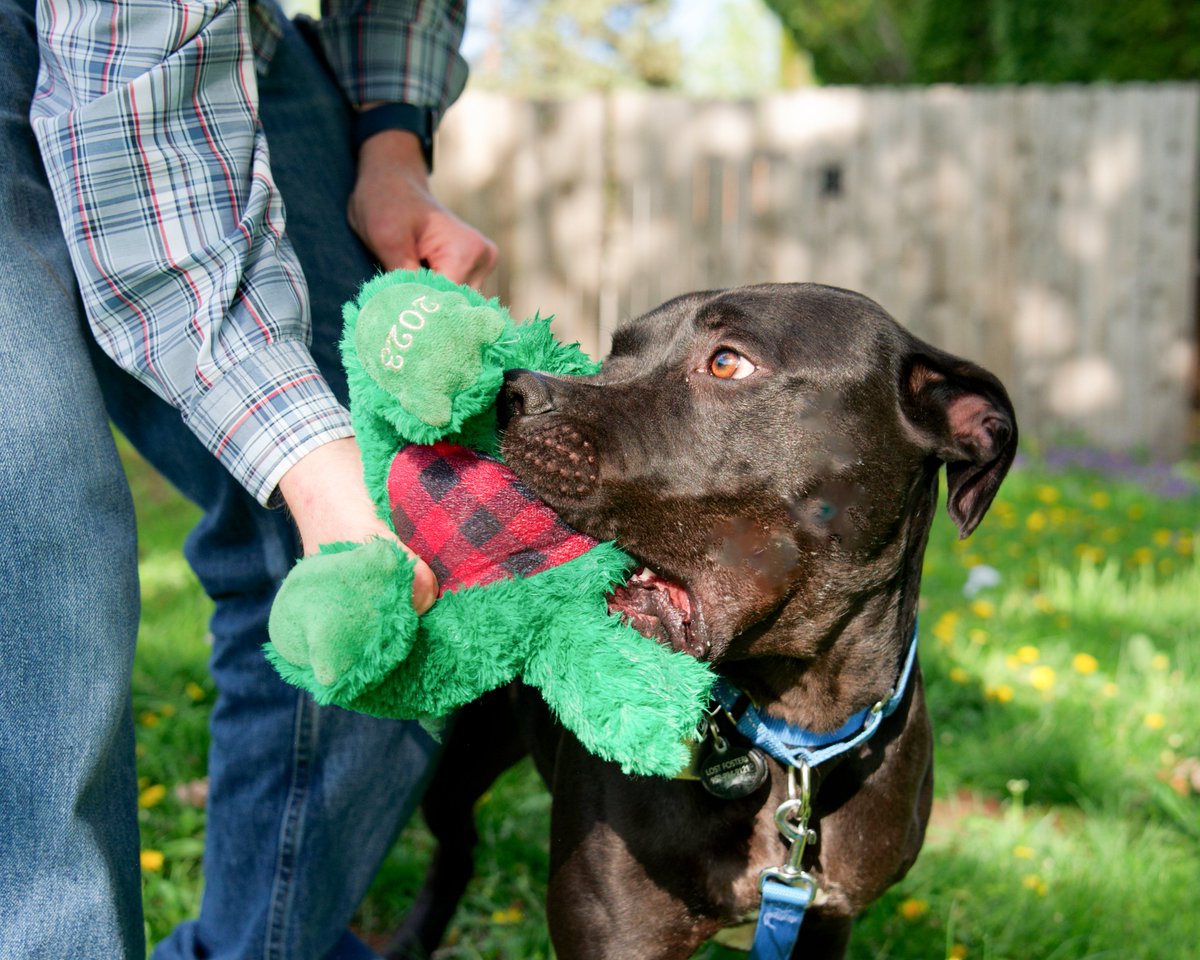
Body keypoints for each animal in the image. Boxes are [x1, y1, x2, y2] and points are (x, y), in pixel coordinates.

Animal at [388, 280, 1017, 955]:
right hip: (456, 766)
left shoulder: (825, 923)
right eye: (613, 356)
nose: (510, 391)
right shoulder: (620, 936)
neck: (795, 736)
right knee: (458, 846)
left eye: (727, 363)